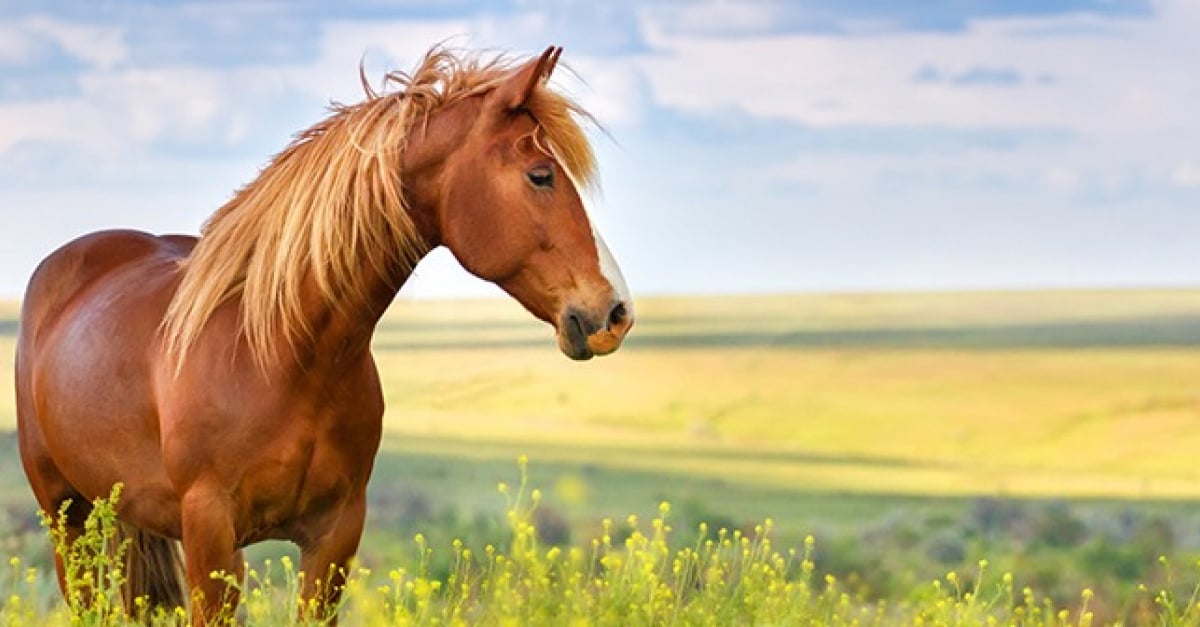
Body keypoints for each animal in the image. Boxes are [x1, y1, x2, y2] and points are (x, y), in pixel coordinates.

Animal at [14, 45, 633, 619]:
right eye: (541, 175)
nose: (615, 313)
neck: (282, 356)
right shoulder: (211, 537)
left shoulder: (335, 538)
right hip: (67, 519)